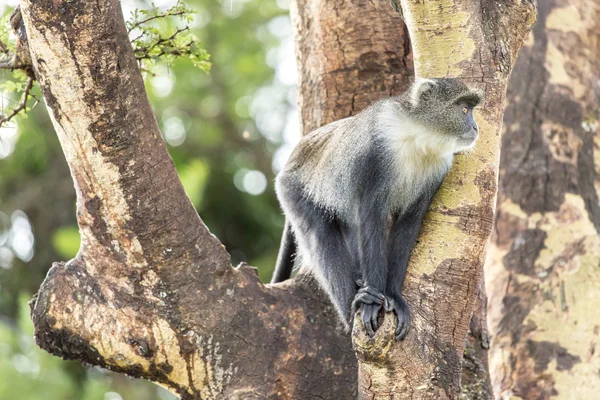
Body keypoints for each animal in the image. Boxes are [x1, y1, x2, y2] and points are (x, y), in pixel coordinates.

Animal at [272, 78, 482, 340]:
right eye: (464, 109)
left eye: (471, 109)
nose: (475, 127)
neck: (418, 137)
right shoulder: (376, 157)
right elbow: (372, 217)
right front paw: (372, 305)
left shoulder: (437, 173)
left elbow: (408, 225)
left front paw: (394, 296)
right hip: (291, 189)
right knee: (319, 235)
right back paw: (353, 307)